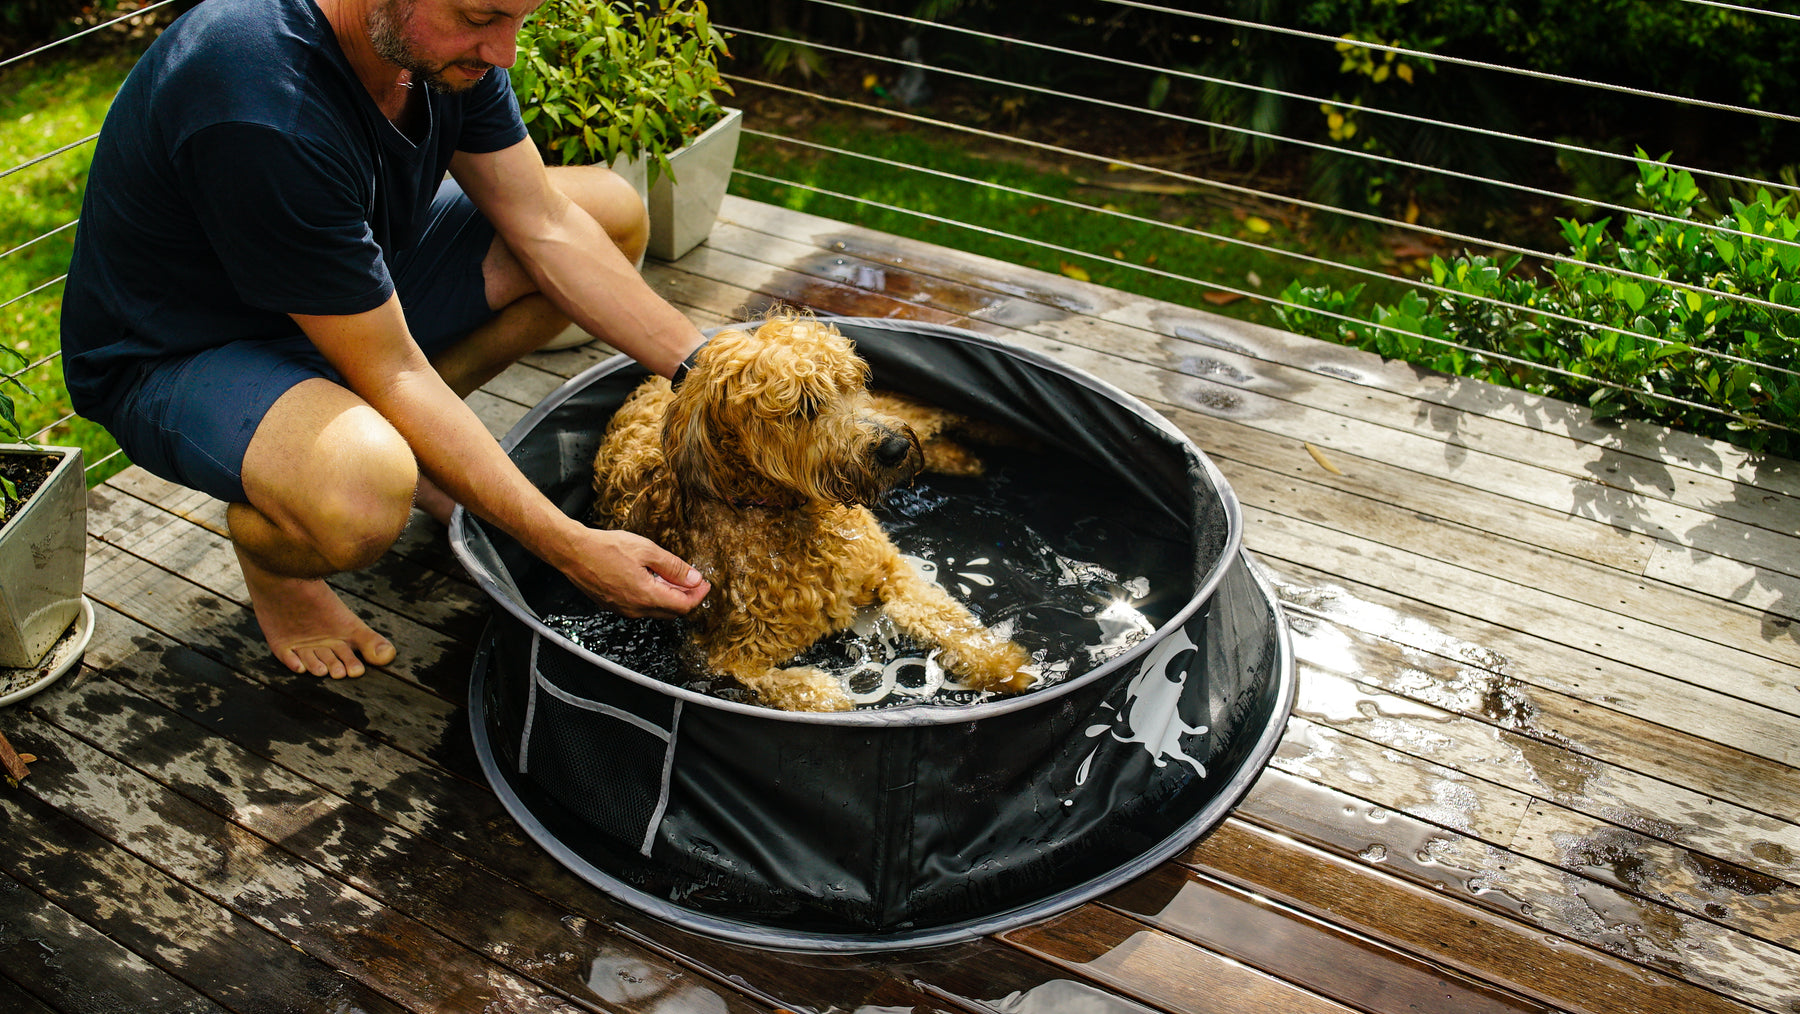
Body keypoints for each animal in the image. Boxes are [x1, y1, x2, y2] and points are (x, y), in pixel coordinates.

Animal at [594, 313, 1029, 709]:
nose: (895, 449)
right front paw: (831, 697)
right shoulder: (713, 657)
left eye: (853, 382)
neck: (781, 508)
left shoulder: (888, 568)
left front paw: (1005, 665)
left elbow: (945, 617)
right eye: (804, 406)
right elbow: (797, 690)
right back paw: (966, 458)